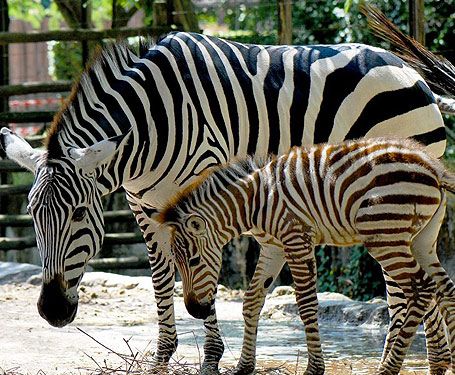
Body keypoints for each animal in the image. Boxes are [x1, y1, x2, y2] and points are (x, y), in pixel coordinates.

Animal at [0, 29, 452, 374]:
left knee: (404, 289)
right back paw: (428, 362)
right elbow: (161, 279)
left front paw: (212, 357)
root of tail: (405, 68)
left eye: (78, 214)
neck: (147, 126)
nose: (52, 311)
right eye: (32, 215)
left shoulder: (199, 188)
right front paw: (163, 356)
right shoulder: (142, 207)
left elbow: (206, 270)